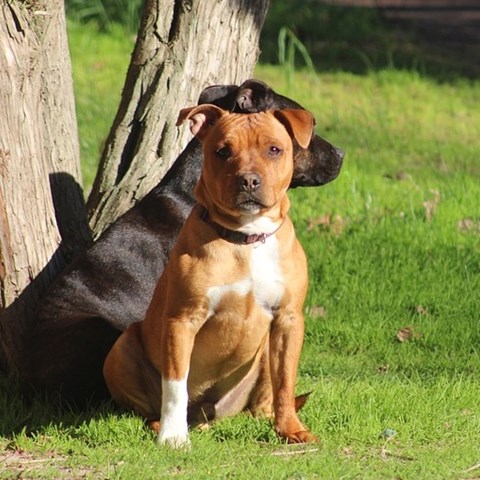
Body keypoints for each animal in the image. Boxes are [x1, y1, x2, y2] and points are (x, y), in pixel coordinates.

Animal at [103, 103, 316, 448]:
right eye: (222, 151)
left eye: (274, 149)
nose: (249, 180)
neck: (246, 237)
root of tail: (206, 413)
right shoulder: (182, 320)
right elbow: (175, 385)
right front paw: (173, 437)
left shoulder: (288, 318)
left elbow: (286, 381)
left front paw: (290, 429)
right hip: (121, 349)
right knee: (149, 406)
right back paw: (164, 424)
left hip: (263, 354)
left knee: (262, 401)